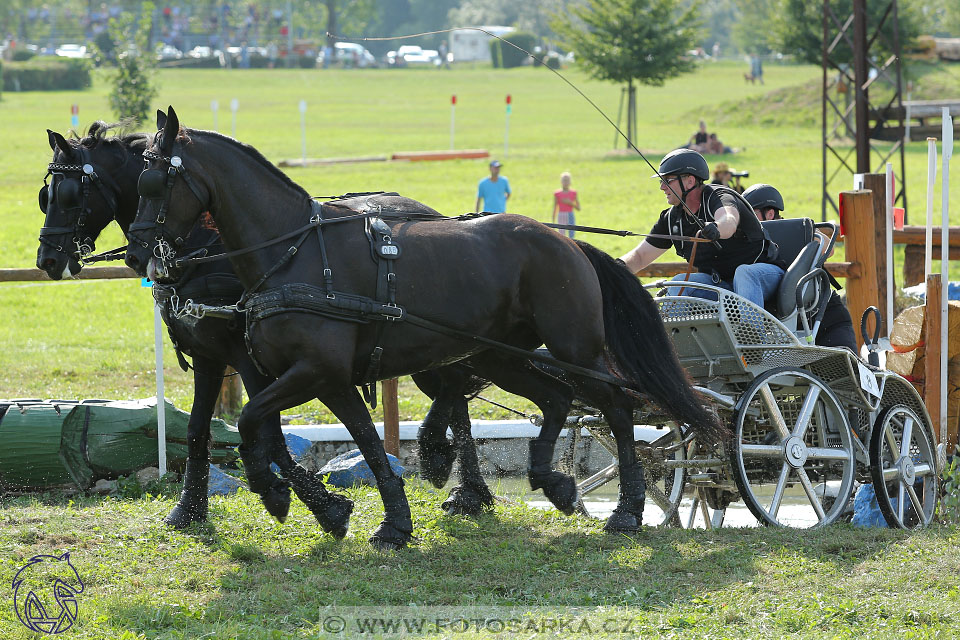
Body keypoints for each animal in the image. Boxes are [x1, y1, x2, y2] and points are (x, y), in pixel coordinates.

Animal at [36, 122, 352, 532]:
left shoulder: (248, 360)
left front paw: (320, 505)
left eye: (69, 195)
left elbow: (269, 433)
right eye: (45, 196)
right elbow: (198, 430)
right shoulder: (207, 357)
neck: (201, 251)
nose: (46, 260)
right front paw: (189, 507)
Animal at [124, 106, 724, 552]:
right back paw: (550, 479)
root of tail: (564, 240)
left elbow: (255, 422)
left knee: (617, 408)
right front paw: (372, 517)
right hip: (499, 355)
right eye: (138, 178)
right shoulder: (323, 377)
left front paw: (281, 496)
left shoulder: (315, 371)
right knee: (554, 399)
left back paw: (626, 510)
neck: (292, 252)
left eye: (156, 179)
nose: (135, 253)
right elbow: (354, 441)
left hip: (574, 348)